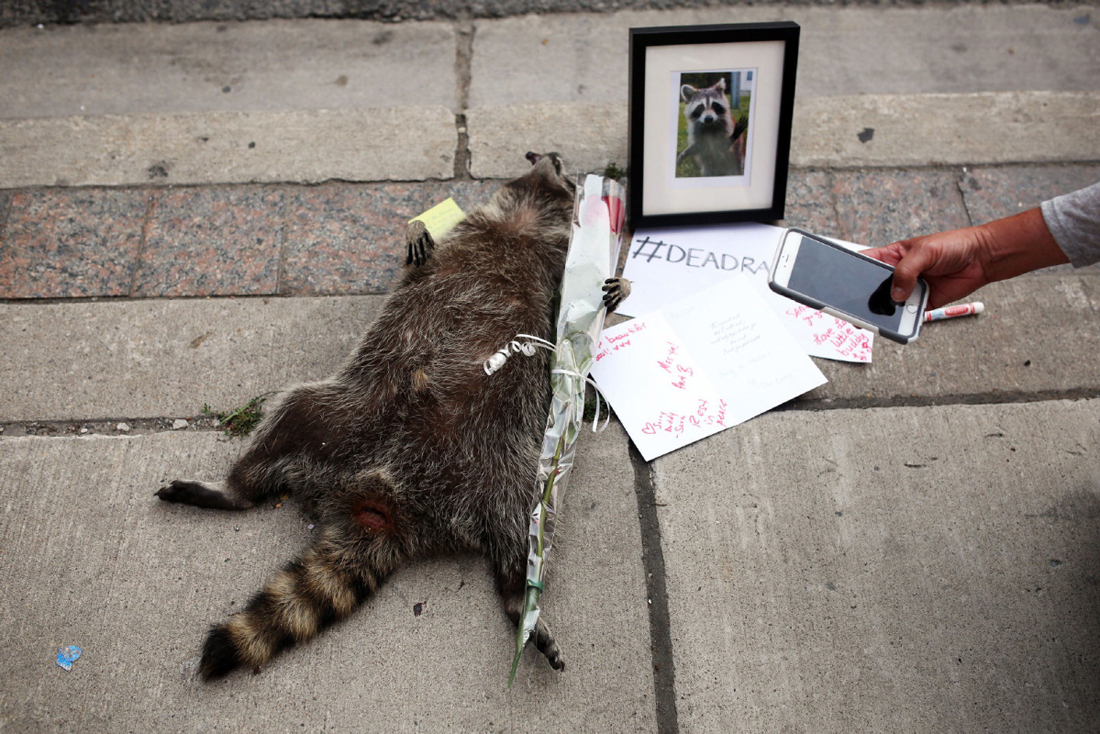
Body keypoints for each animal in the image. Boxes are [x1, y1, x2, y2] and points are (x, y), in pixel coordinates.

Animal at [159, 151, 633, 682]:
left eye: (565, 174)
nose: (551, 157)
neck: (523, 217)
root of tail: (389, 505)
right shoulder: (470, 229)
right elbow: (415, 257)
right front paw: (415, 229)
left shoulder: (556, 267)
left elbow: (577, 320)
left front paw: (621, 288)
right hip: (344, 412)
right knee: (288, 414)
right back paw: (233, 487)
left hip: (503, 465)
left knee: (530, 520)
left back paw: (519, 592)